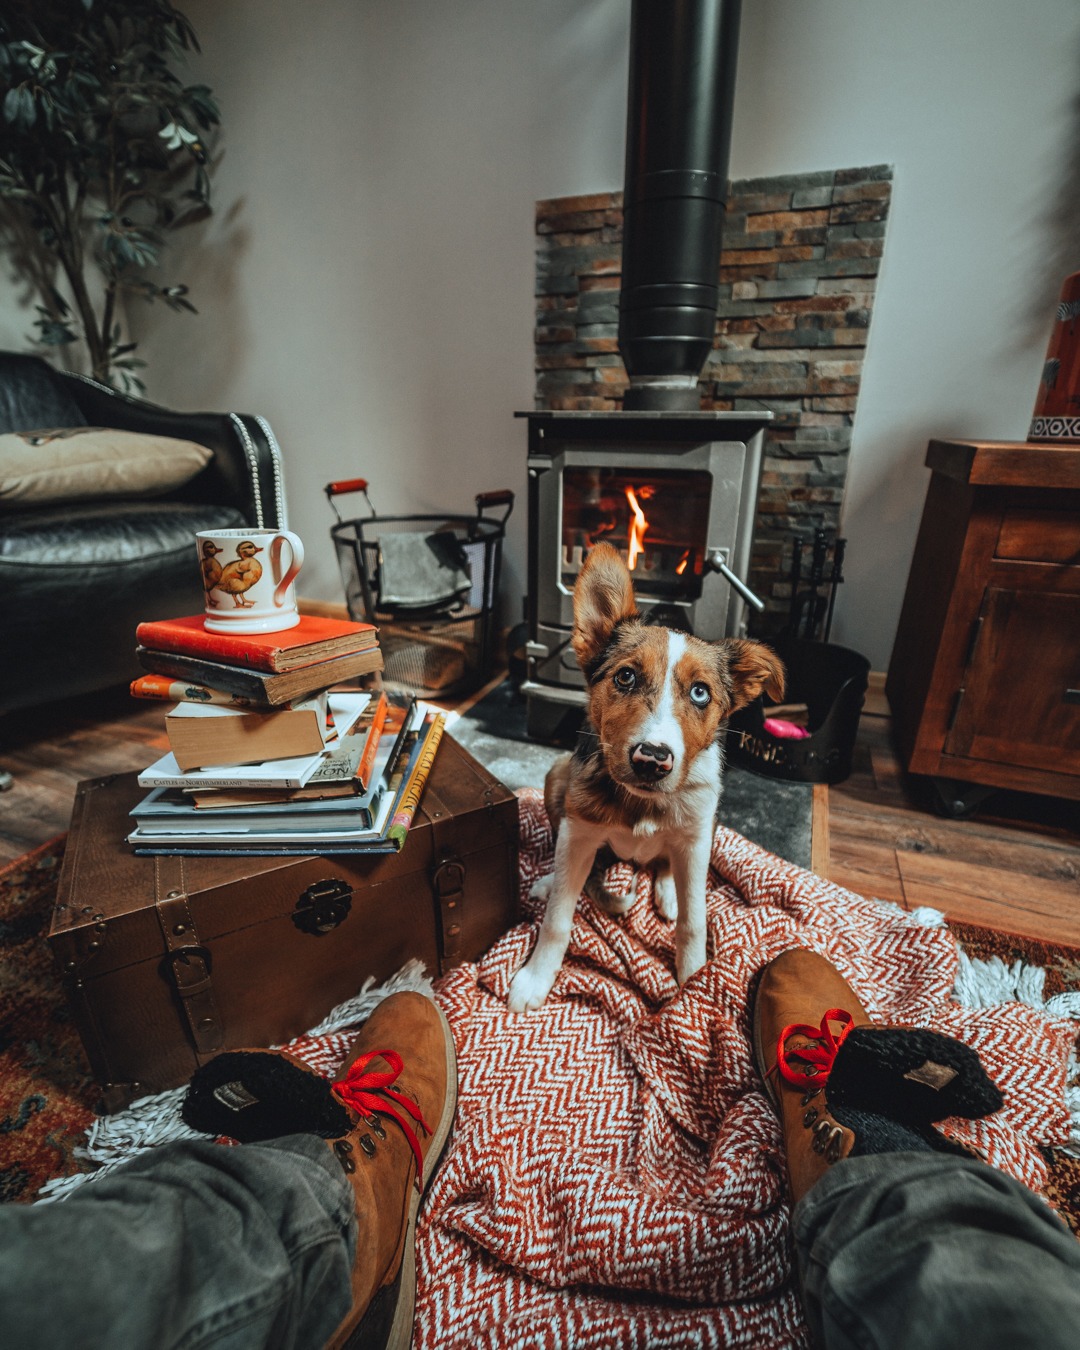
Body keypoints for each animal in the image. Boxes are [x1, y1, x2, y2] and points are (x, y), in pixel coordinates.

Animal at [507, 542, 783, 1009]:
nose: (652, 759)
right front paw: (536, 978)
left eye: (700, 692)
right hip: (557, 777)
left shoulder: (697, 835)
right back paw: (548, 881)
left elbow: (694, 921)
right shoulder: (579, 832)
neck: (642, 802)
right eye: (626, 676)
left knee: (670, 867)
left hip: (705, 824)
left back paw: (668, 893)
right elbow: (558, 917)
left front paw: (693, 980)